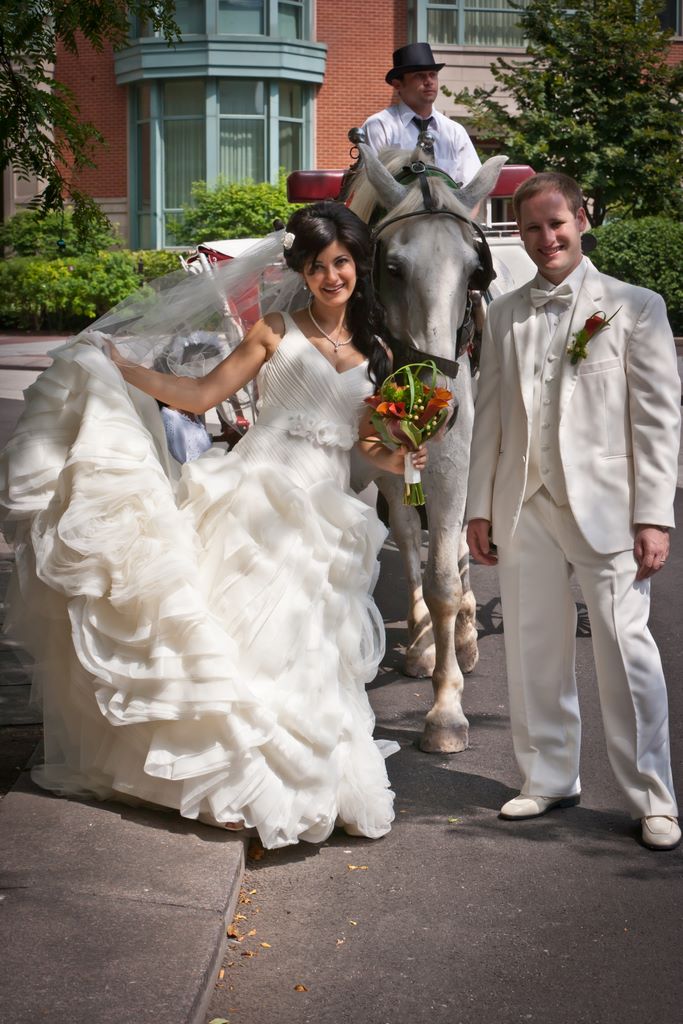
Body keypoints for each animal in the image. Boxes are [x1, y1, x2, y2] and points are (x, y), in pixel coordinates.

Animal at [348, 144, 509, 753]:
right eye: (392, 268)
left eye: (473, 271)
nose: (437, 402)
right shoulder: (385, 463)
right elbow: (406, 545)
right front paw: (423, 645)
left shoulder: (454, 458)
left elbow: (444, 575)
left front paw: (446, 709)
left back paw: (462, 630)